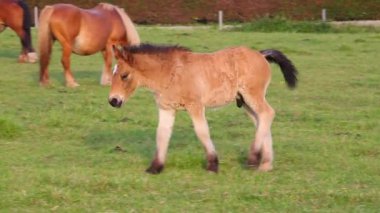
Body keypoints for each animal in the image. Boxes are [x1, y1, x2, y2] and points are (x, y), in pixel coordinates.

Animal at [108, 43, 298, 175]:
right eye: (112, 73)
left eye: (124, 75)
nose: (113, 101)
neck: (171, 72)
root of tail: (261, 54)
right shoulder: (166, 108)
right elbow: (162, 134)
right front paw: (155, 168)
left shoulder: (195, 106)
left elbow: (202, 132)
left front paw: (213, 165)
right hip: (245, 102)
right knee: (261, 120)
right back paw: (265, 164)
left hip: (253, 95)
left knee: (267, 113)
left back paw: (253, 159)